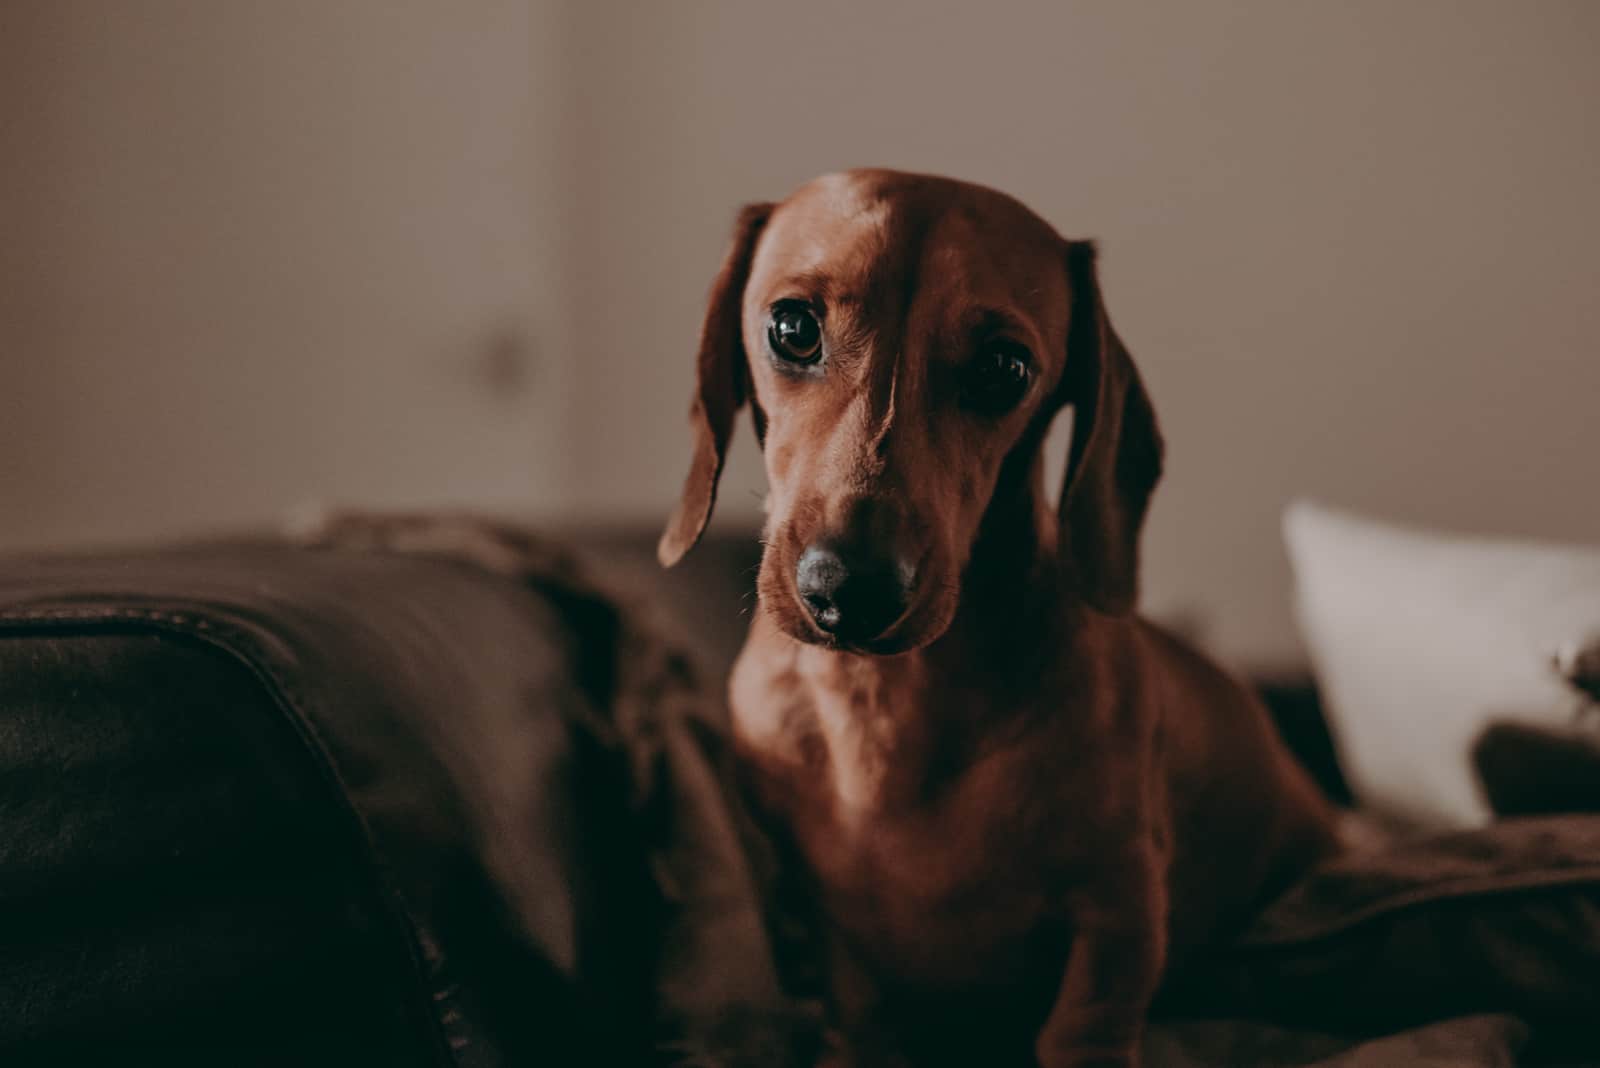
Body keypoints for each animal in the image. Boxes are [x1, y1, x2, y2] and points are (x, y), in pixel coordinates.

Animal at [656, 171, 1344, 1061]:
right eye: (791, 327)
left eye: (1005, 368)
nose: (850, 592)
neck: (885, 708)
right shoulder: (845, 956)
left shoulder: (1117, 910)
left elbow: (1084, 1024)